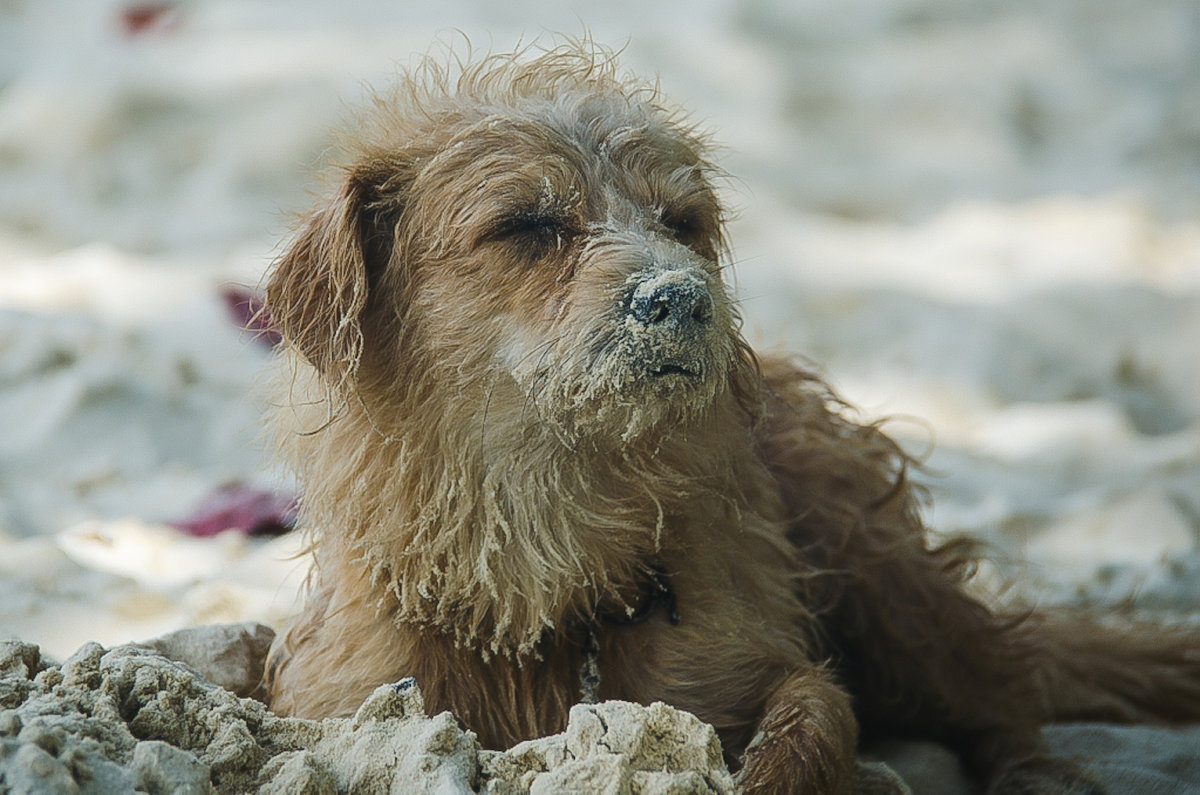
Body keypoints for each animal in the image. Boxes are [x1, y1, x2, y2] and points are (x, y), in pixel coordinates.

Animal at [262, 45, 1200, 795]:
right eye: (528, 224)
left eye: (682, 222)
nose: (682, 298)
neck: (548, 577)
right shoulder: (355, 705)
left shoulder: (749, 664)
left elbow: (813, 716)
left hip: (875, 566)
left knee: (1001, 685)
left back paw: (1037, 768)